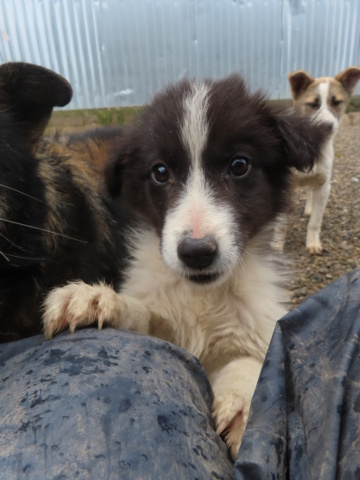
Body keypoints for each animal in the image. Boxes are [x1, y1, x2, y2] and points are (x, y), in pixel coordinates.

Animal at [43, 76, 330, 458]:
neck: (203, 296)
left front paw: (241, 406)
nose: (196, 252)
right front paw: (96, 300)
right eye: (160, 172)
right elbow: (143, 316)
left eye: (239, 165)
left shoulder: (258, 327)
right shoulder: (163, 316)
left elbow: (251, 361)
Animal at [286, 67, 360, 255]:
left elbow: (315, 221)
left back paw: (309, 208)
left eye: (337, 102)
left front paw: (312, 243)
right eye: (313, 104)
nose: (326, 127)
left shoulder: (323, 186)